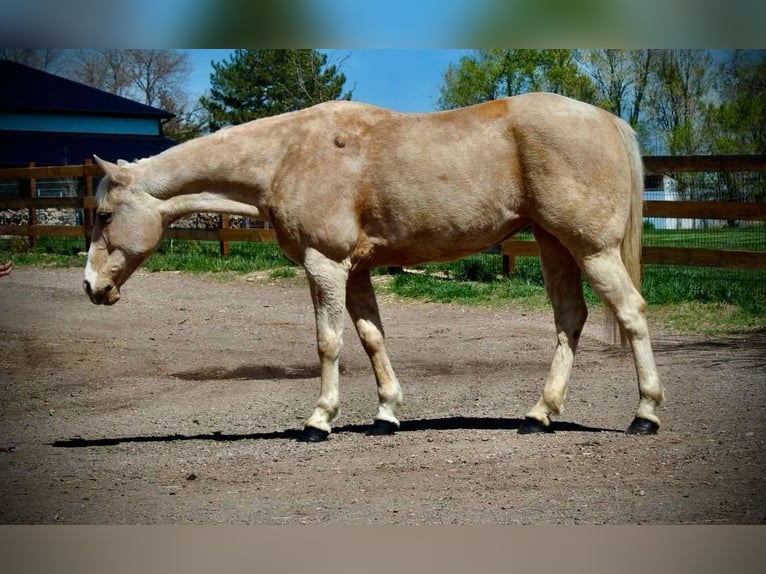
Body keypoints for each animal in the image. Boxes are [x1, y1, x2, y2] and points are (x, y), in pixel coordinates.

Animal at [83, 92, 664, 442]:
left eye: (104, 214)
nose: (90, 286)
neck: (288, 154)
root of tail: (607, 119)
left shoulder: (324, 265)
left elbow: (329, 342)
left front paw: (320, 419)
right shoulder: (355, 269)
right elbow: (370, 337)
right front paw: (386, 413)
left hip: (591, 249)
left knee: (632, 313)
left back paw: (645, 414)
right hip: (553, 244)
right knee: (570, 320)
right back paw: (539, 415)